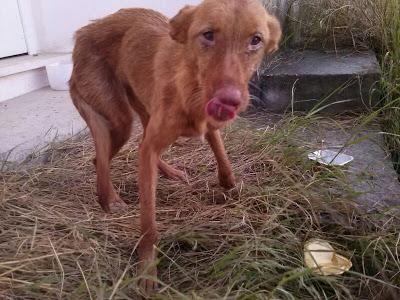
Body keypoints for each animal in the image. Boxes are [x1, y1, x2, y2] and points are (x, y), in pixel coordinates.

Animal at [69, 0, 282, 292]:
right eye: (207, 35)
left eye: (256, 40)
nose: (229, 100)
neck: (191, 85)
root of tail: (83, 32)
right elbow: (149, 222)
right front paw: (147, 270)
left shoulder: (209, 126)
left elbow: (222, 153)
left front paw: (230, 184)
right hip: (118, 118)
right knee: (102, 158)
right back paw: (109, 199)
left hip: (142, 109)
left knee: (136, 147)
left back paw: (168, 172)